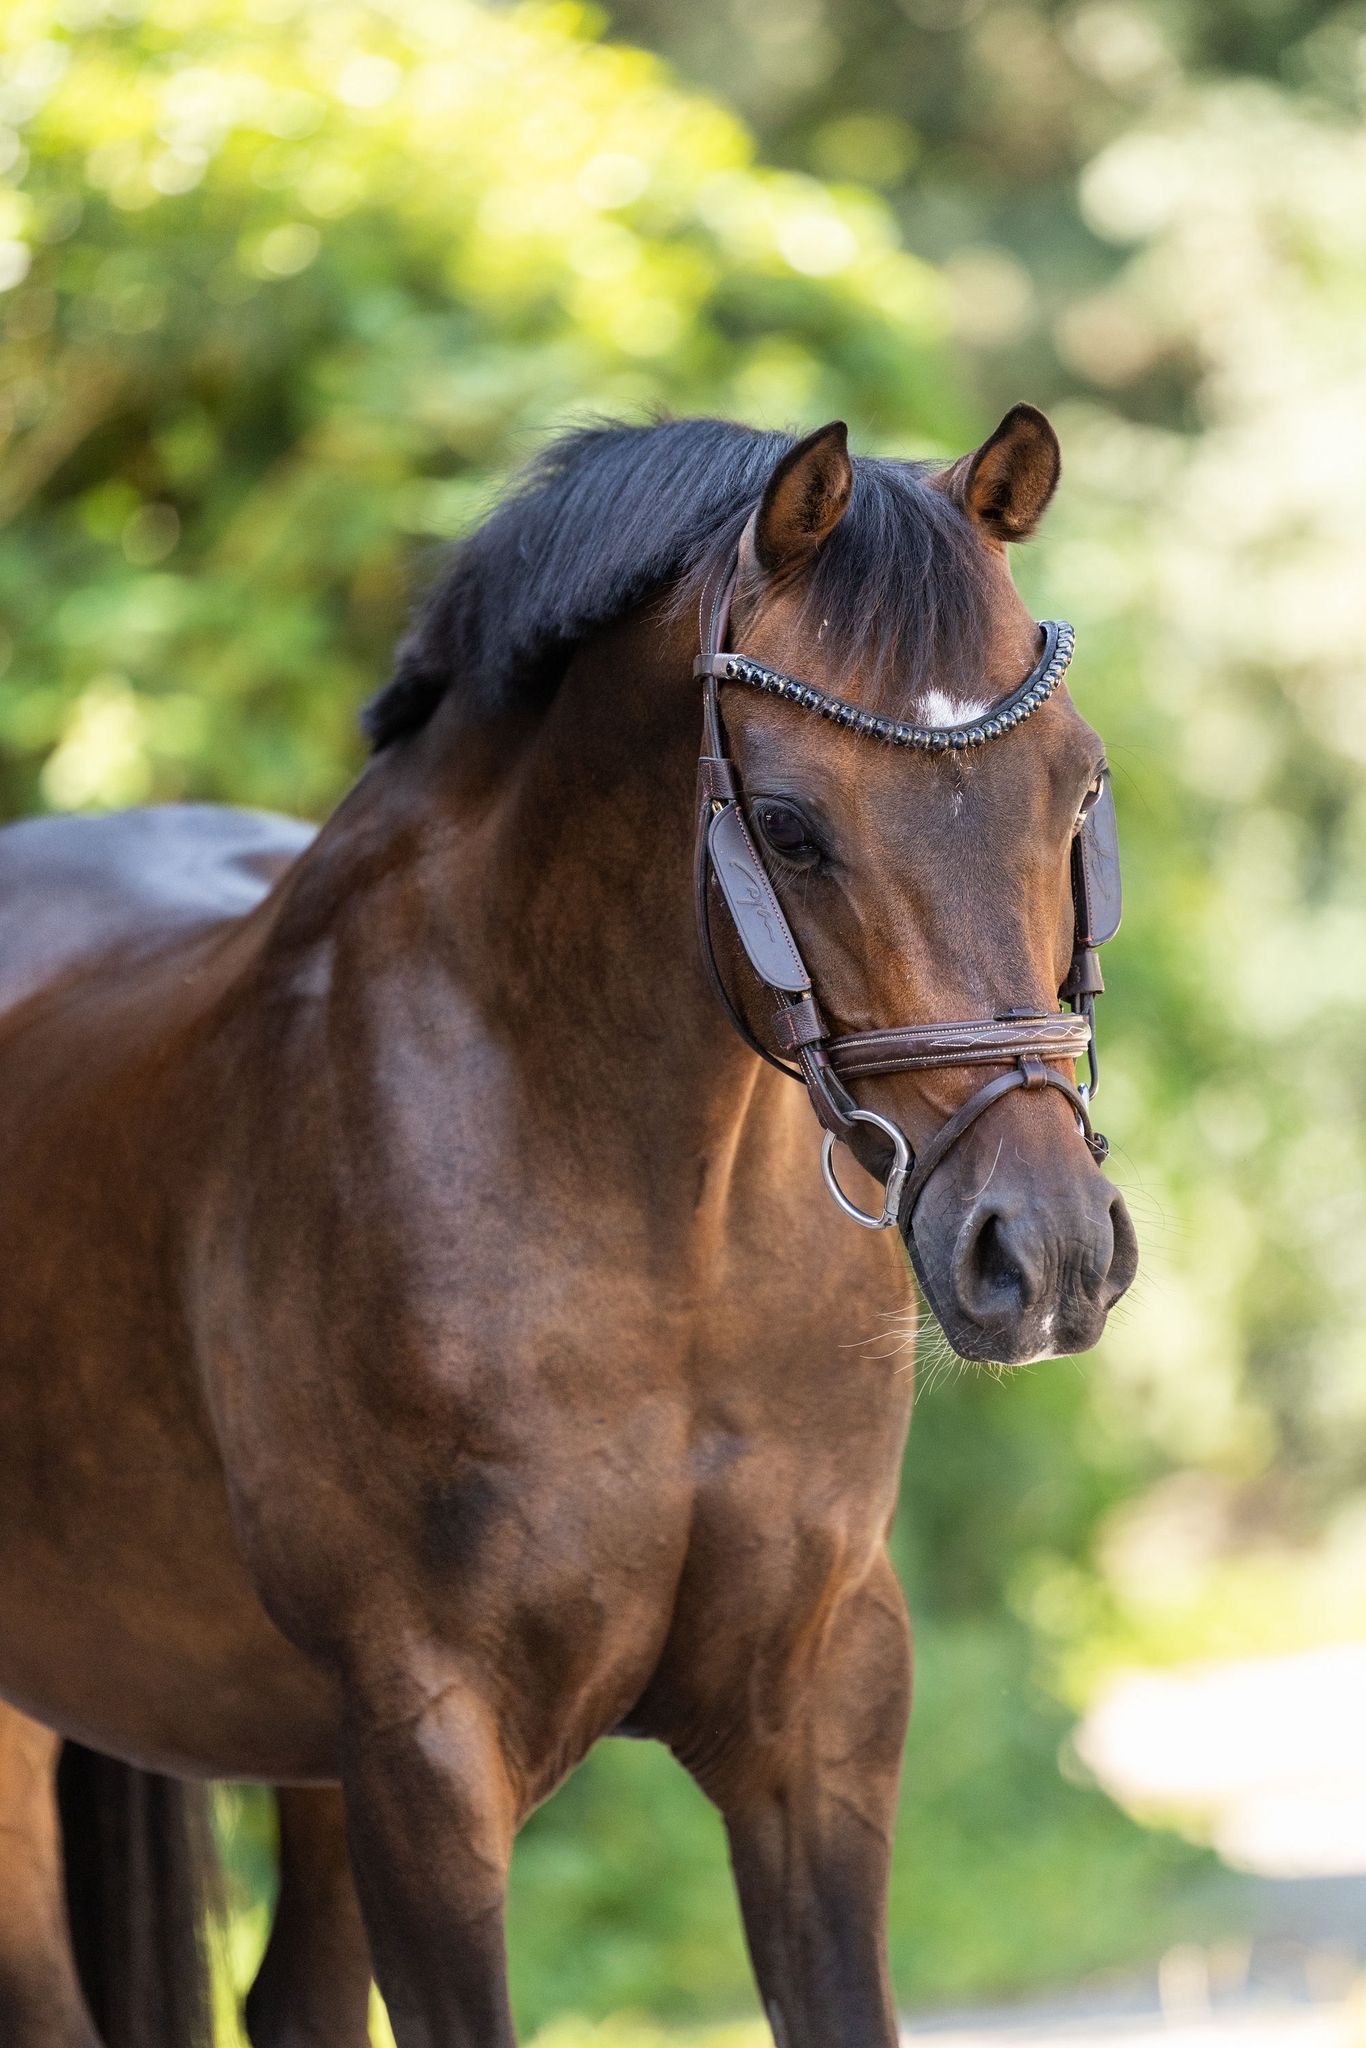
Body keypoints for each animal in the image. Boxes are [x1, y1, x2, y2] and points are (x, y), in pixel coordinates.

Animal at [0, 405, 1137, 2047]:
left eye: (1074, 786)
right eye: (788, 827)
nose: (1041, 1254)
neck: (659, 1233)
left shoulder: (821, 1709)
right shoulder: (425, 1751)